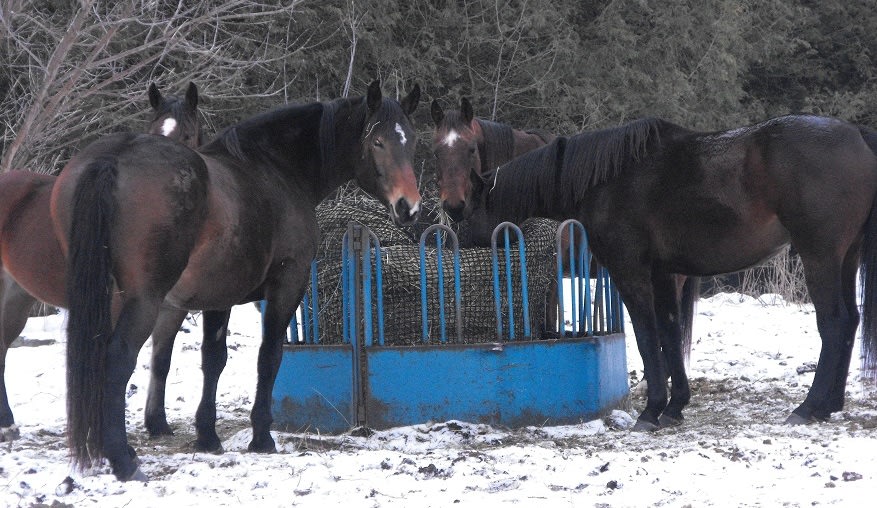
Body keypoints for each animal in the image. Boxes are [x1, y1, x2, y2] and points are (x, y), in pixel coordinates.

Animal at [0, 81, 202, 442]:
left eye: (189, 135)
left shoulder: (169, 308)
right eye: (154, 130)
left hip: (18, 296)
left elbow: (160, 360)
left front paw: (157, 423)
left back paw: (8, 424)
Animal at [50, 79, 420, 480]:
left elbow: (212, 359)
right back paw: (122, 459)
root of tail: (113, 157)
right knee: (118, 358)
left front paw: (207, 436)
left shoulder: (217, 295)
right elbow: (268, 355)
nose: (409, 206)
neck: (276, 168)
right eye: (377, 141)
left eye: (411, 140)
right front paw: (261, 437)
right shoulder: (287, 283)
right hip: (143, 298)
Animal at [468, 115, 876, 432]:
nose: (465, 247)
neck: (607, 180)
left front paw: (650, 412)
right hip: (845, 258)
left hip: (820, 256)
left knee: (834, 323)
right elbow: (669, 332)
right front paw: (675, 407)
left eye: (467, 210)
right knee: (851, 321)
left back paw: (809, 408)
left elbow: (647, 337)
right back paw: (830, 405)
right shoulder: (664, 273)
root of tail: (856, 134)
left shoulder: (631, 272)